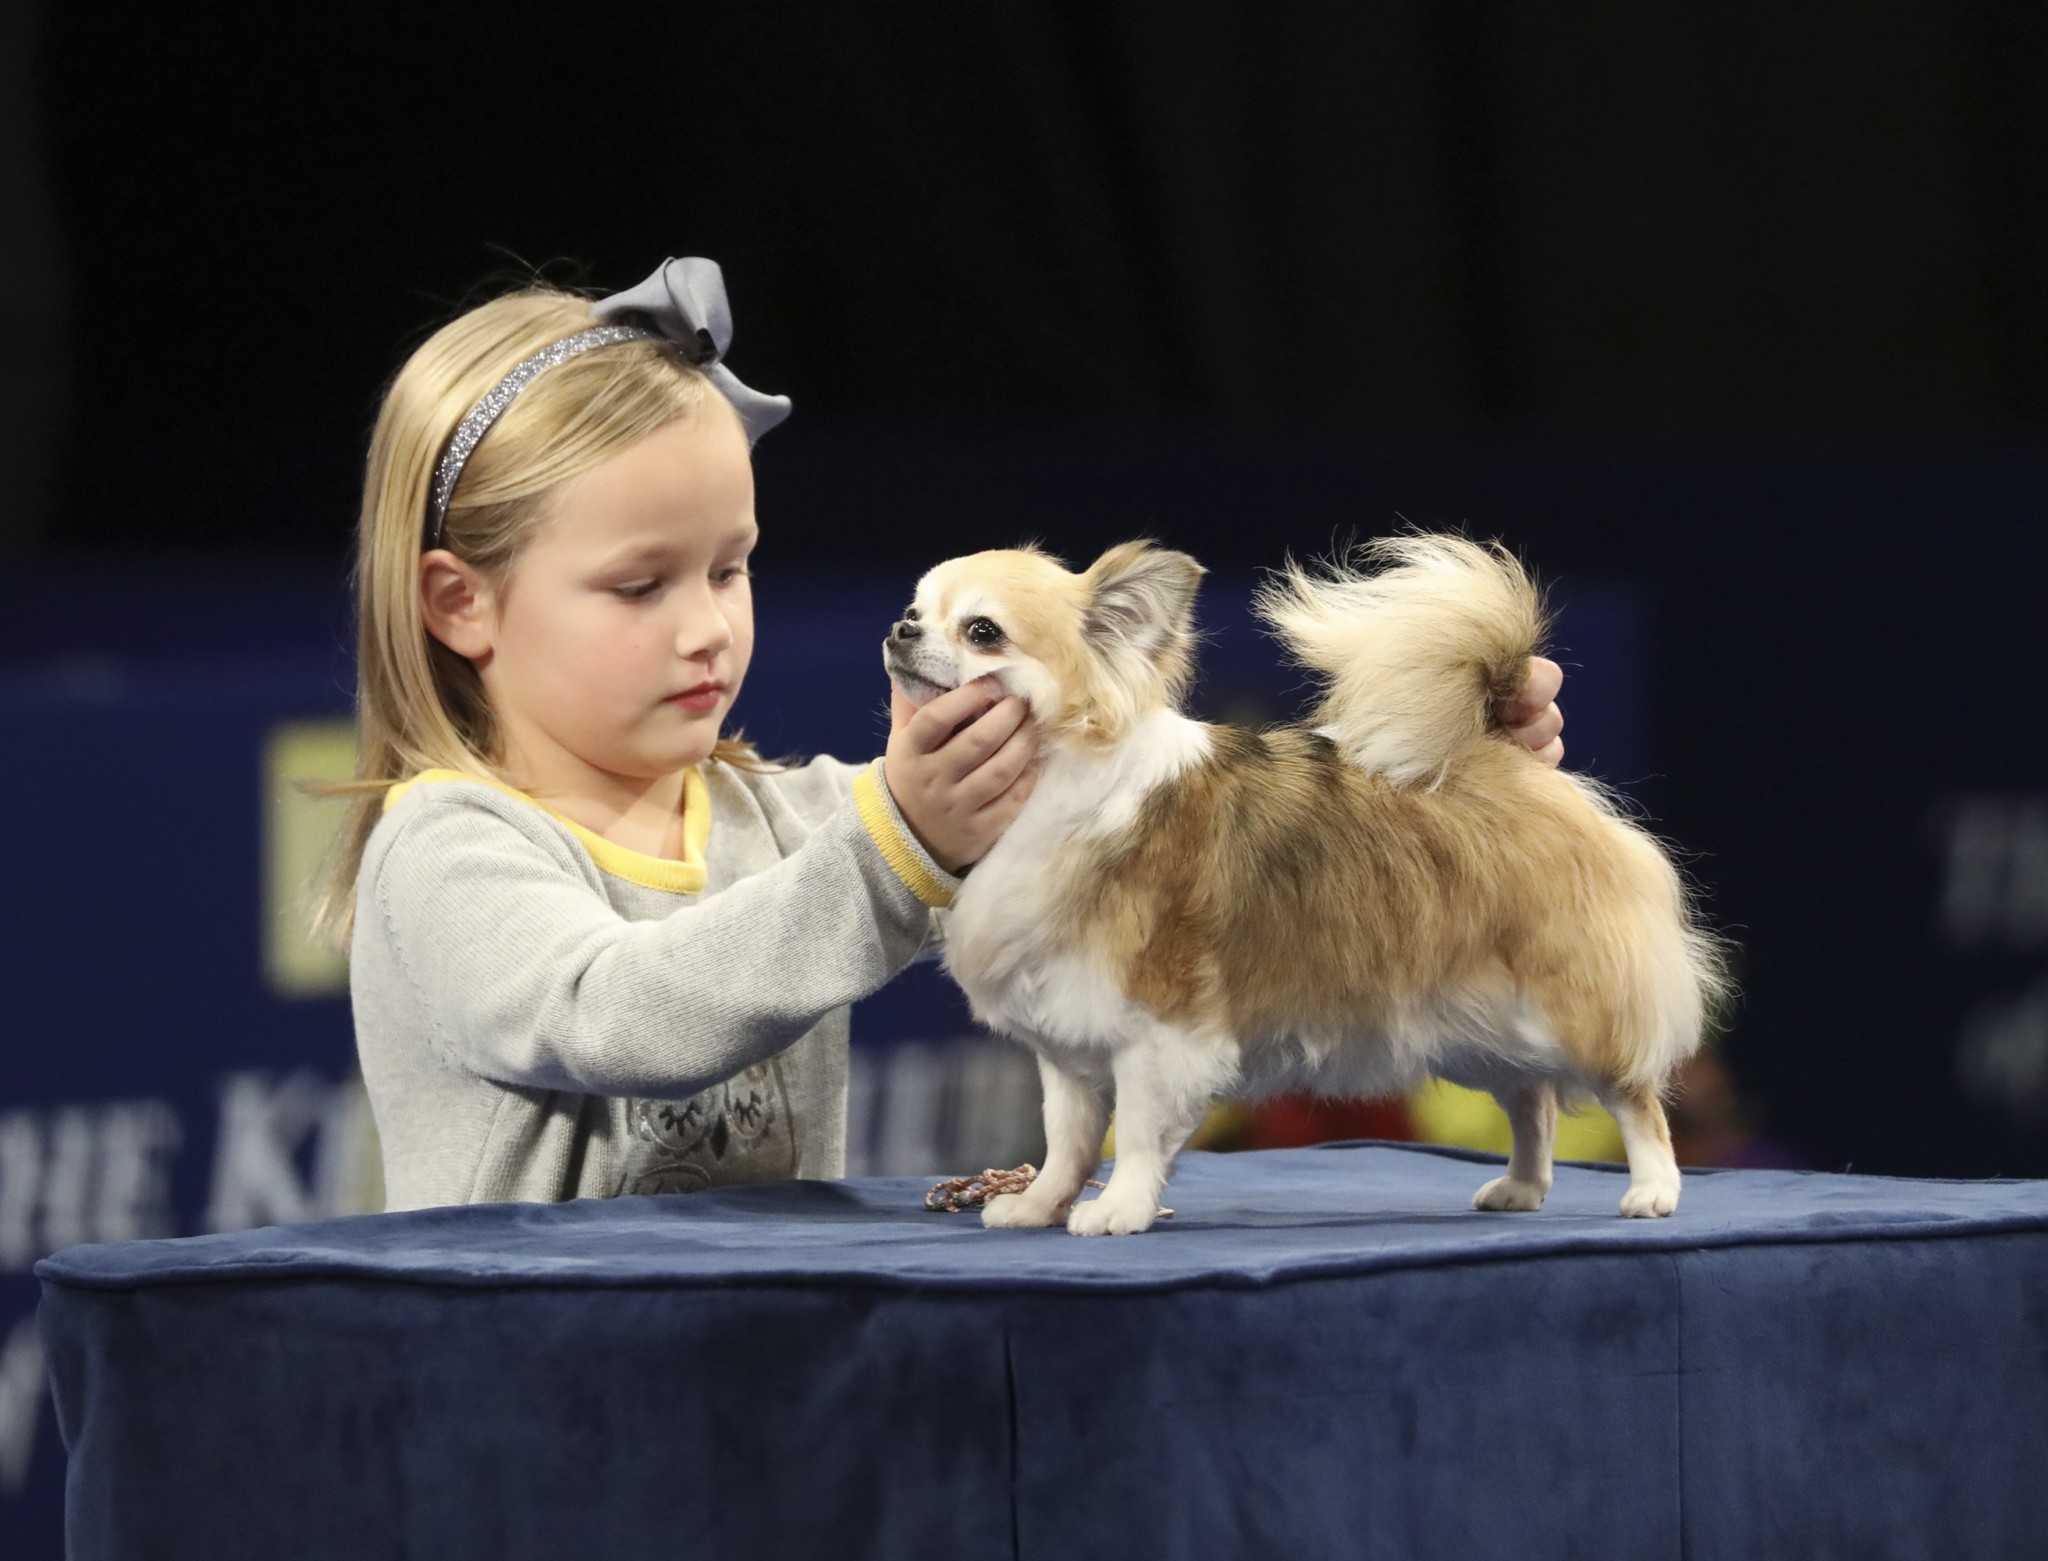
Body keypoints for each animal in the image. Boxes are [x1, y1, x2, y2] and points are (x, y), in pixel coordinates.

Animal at [884, 536, 1728, 1229]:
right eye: (917, 609)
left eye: (982, 631)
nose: (901, 628)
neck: (1053, 787)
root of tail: (1495, 754)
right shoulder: (1066, 1048)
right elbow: (1068, 1139)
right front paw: (1038, 1205)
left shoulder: (1161, 1030)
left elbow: (1141, 1132)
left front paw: (1119, 1209)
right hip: (1479, 1023)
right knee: (1533, 1102)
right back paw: (1520, 1187)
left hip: (1568, 1007)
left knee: (1632, 1096)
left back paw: (1653, 1190)